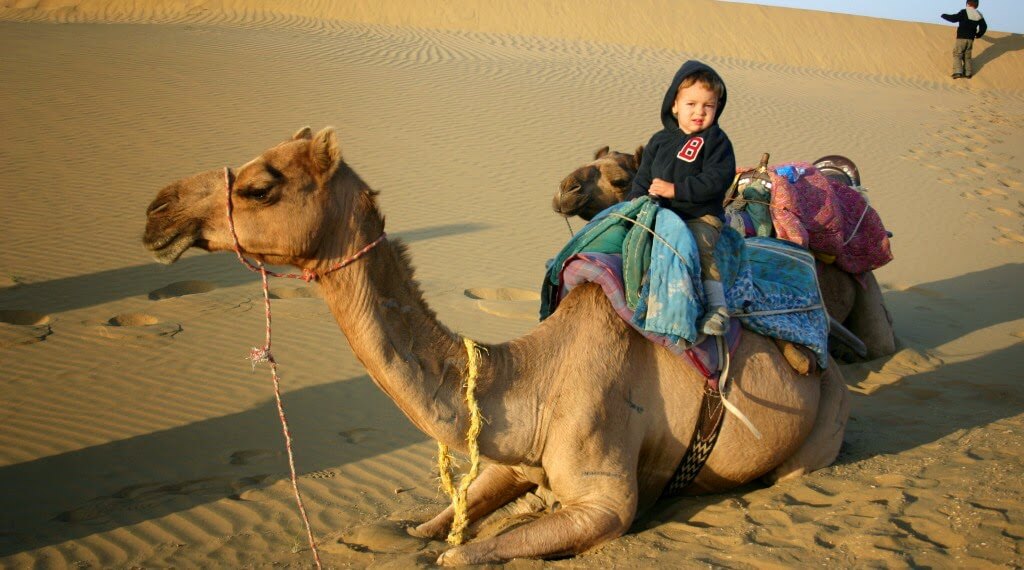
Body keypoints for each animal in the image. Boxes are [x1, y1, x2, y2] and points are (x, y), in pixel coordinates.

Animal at [143, 127, 850, 565]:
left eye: (261, 185)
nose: (157, 210)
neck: (535, 376)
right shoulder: (510, 459)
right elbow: (432, 525)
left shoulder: (607, 502)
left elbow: (459, 554)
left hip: (819, 431)